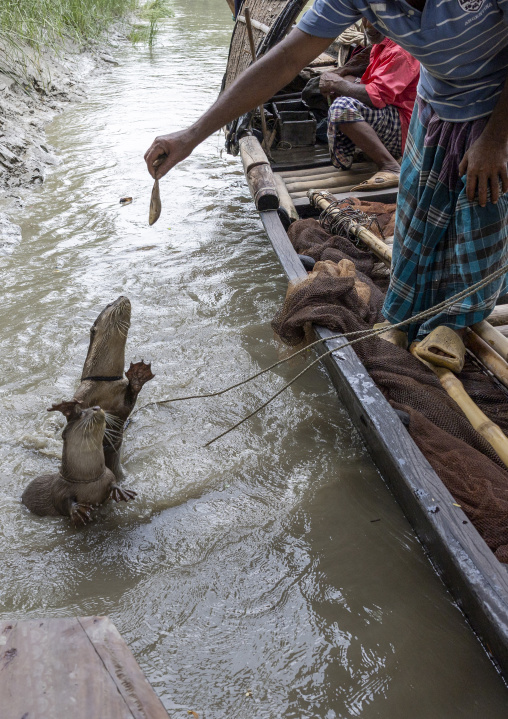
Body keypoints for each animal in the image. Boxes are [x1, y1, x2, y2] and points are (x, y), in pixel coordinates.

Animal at [72, 296, 154, 478]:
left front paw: (138, 375)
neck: (105, 382)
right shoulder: (81, 393)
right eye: (109, 304)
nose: (123, 297)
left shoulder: (122, 401)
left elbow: (129, 402)